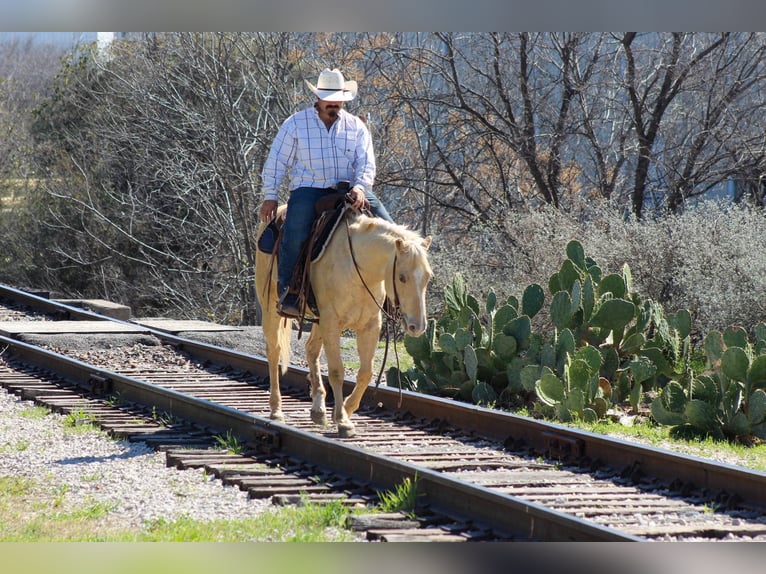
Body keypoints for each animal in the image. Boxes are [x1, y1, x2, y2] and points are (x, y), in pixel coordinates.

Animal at [255, 205, 432, 437]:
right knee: (274, 351)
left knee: (311, 349)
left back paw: (318, 410)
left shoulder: (369, 326)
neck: (357, 266)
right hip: (271, 308)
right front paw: (342, 420)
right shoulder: (332, 323)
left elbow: (366, 373)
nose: (417, 326)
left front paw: (345, 410)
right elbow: (337, 371)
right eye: (402, 277)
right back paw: (276, 410)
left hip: (318, 320)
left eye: (428, 277)